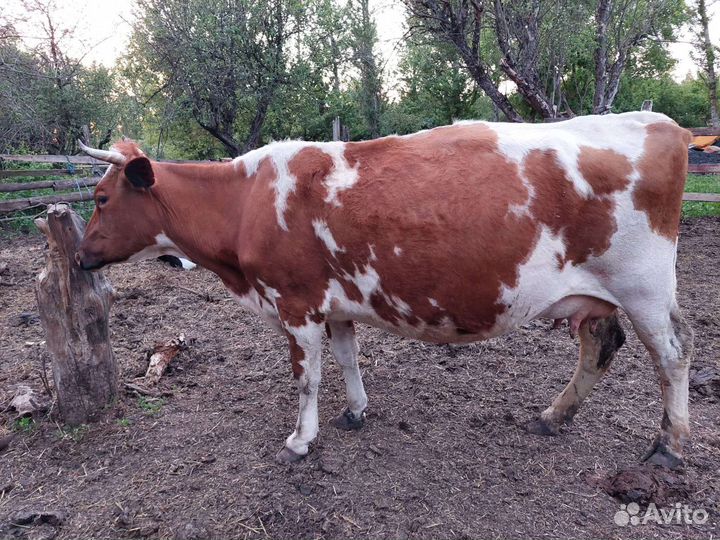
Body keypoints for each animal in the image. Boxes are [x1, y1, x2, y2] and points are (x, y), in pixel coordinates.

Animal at [76, 111, 693, 468]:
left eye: (102, 198)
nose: (81, 257)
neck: (247, 201)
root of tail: (662, 122)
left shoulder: (296, 303)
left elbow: (307, 378)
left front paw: (301, 440)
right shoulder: (335, 303)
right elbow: (348, 358)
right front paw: (355, 411)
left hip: (643, 286)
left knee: (674, 355)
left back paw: (668, 447)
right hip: (596, 294)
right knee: (601, 346)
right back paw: (554, 416)